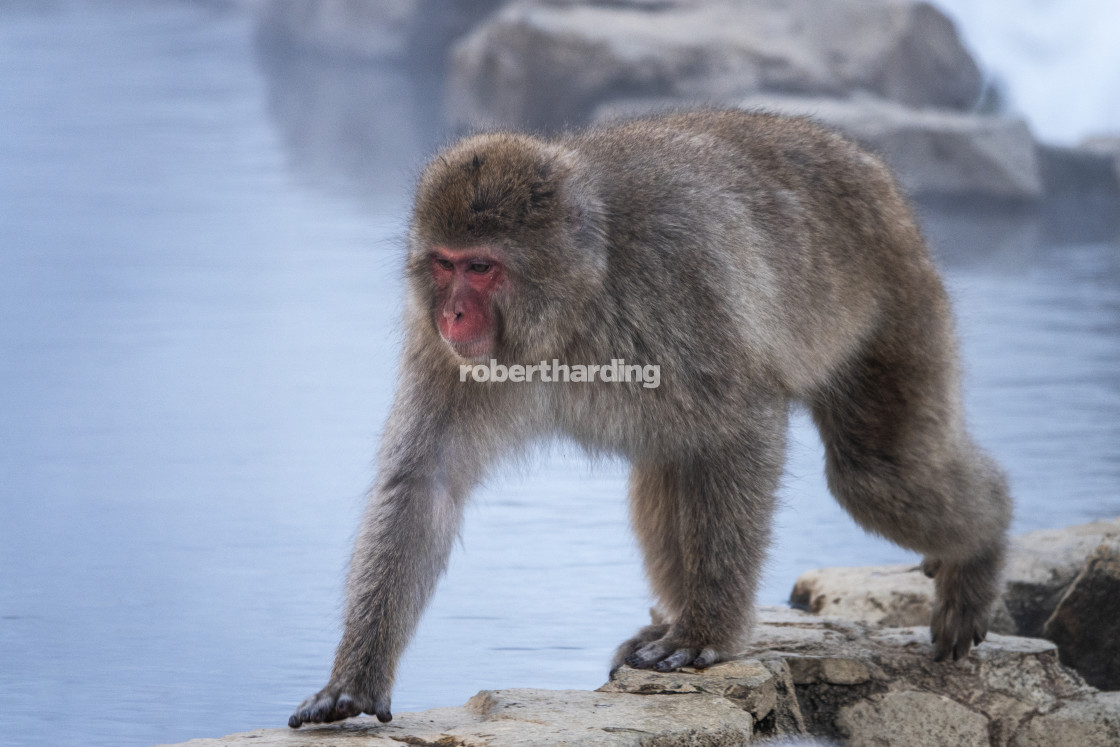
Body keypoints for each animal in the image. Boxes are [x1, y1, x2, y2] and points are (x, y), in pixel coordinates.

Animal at [288, 108, 1016, 725]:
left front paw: (706, 635)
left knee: (873, 473)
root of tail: (863, 161)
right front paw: (355, 680)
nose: (453, 314)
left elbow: (742, 425)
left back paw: (982, 547)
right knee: (670, 468)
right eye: (443, 265)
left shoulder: (679, 281)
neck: (575, 304)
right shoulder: (441, 353)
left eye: (482, 267)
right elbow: (425, 485)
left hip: (896, 295)